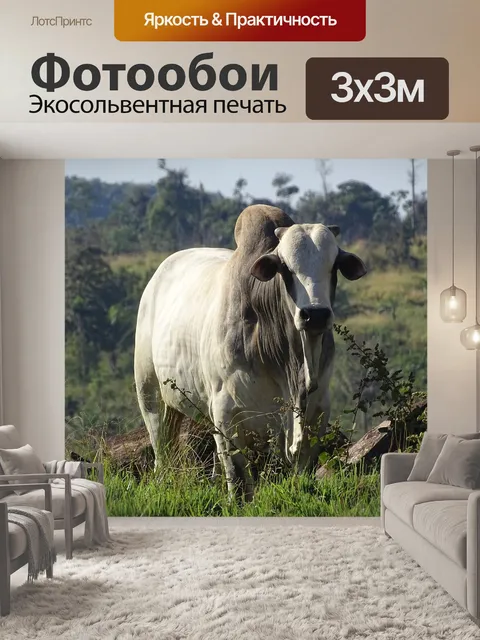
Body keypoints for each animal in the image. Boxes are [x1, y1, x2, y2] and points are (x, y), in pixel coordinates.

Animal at [134, 205, 367, 498]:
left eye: (334, 265)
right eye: (285, 267)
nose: (315, 315)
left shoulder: (318, 411)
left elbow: (300, 467)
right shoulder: (225, 412)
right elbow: (238, 475)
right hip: (150, 392)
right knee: (161, 448)